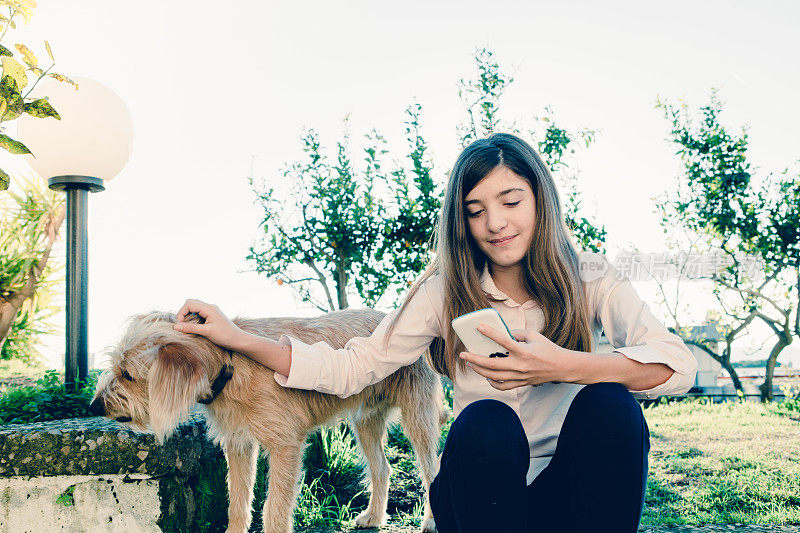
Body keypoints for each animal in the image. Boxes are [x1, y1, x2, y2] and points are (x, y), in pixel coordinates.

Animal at [92, 308, 450, 532]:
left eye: (127, 374)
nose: (95, 406)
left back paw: (432, 521)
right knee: (382, 468)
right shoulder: (238, 445)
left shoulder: (284, 446)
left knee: (432, 468)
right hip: (366, 421)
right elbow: (238, 502)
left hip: (418, 418)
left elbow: (273, 508)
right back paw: (374, 516)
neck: (230, 364)